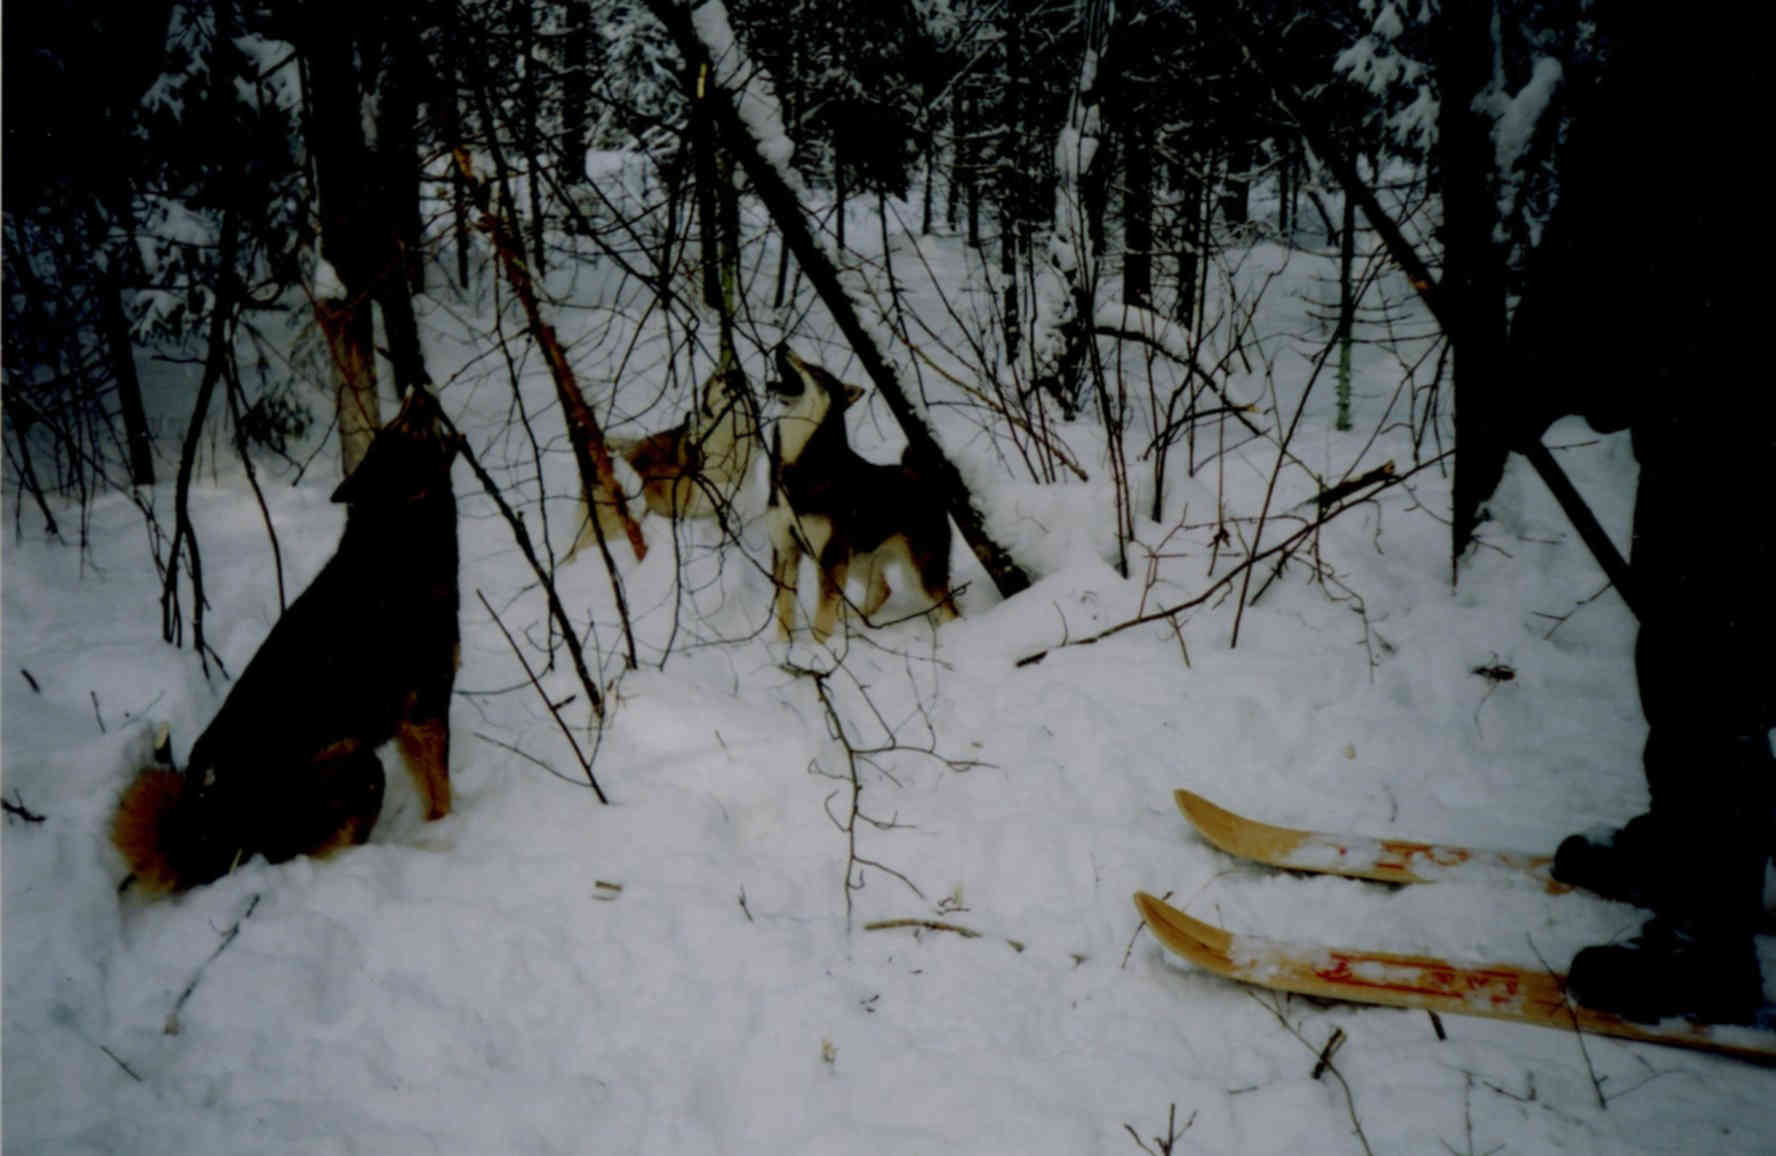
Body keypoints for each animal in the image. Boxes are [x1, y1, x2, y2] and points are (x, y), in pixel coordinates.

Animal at [109, 388, 458, 894]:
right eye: (401, 428)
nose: (418, 389)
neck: (399, 542)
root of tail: (198, 836)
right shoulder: (427, 709)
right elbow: (442, 794)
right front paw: (450, 835)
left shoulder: (415, 722)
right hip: (359, 765)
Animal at [763, 348, 959, 646]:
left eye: (815, 370)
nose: (782, 346)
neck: (801, 464)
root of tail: (921, 478)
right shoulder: (786, 549)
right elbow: (785, 609)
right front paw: (783, 648)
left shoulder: (830, 556)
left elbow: (822, 617)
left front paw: (820, 650)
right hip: (857, 558)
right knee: (882, 588)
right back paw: (857, 623)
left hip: (918, 570)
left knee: (948, 608)